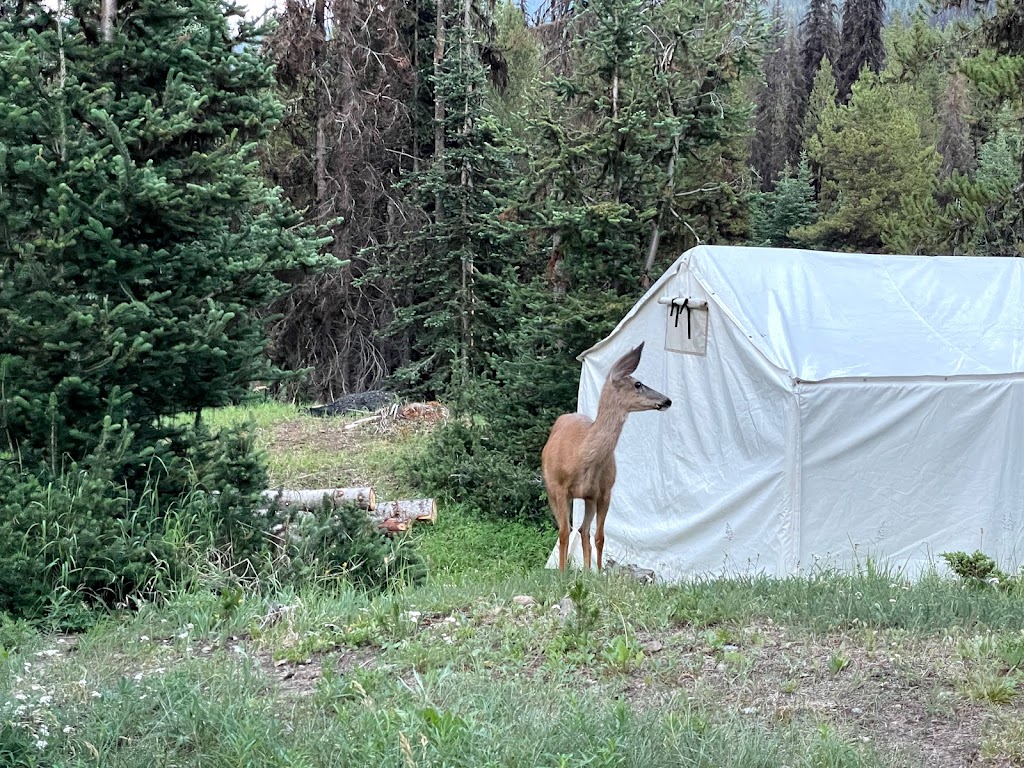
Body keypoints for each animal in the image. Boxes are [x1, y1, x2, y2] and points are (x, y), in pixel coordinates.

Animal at [544, 342, 671, 573]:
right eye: (638, 384)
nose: (667, 400)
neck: (580, 456)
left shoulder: (604, 492)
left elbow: (600, 537)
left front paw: (598, 573)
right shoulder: (559, 488)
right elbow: (564, 533)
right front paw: (562, 574)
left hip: (588, 498)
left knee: (584, 530)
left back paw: (586, 572)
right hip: (552, 490)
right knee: (569, 529)